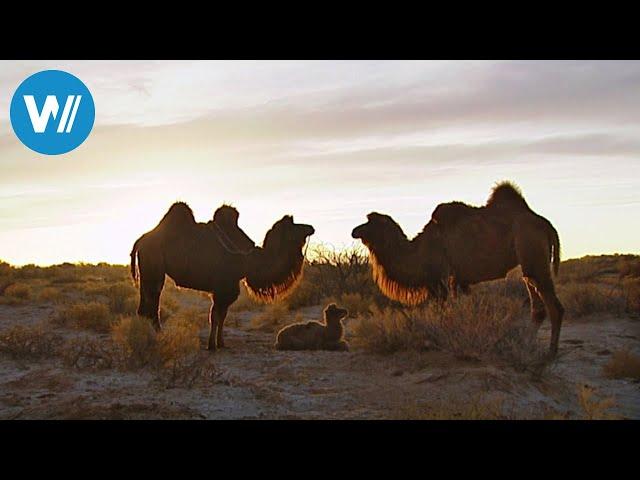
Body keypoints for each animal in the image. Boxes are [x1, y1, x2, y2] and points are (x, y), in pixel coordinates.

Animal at [129, 201, 314, 350]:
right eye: (294, 225)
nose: (311, 227)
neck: (248, 260)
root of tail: (140, 241)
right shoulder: (222, 286)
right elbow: (215, 315)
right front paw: (212, 346)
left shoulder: (228, 287)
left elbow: (222, 316)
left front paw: (221, 343)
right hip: (154, 271)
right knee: (152, 305)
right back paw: (158, 336)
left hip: (148, 274)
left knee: (144, 307)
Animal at [350, 182, 564, 354]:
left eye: (369, 221)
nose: (354, 230)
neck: (418, 251)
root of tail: (546, 224)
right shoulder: (457, 281)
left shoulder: (439, 281)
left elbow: (442, 313)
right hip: (529, 260)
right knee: (536, 303)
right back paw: (528, 346)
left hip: (531, 247)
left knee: (553, 305)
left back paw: (550, 353)